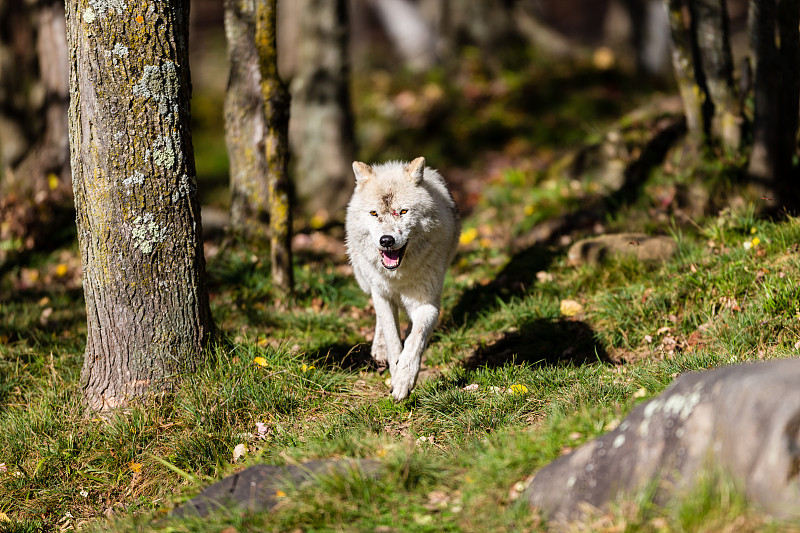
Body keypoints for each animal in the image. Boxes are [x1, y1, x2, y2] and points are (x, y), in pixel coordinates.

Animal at [346, 157, 462, 400]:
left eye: (403, 211)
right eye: (374, 213)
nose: (387, 240)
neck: (398, 275)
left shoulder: (427, 304)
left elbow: (416, 338)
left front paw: (403, 379)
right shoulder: (382, 295)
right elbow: (392, 338)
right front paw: (394, 369)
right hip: (365, 279)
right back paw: (379, 350)